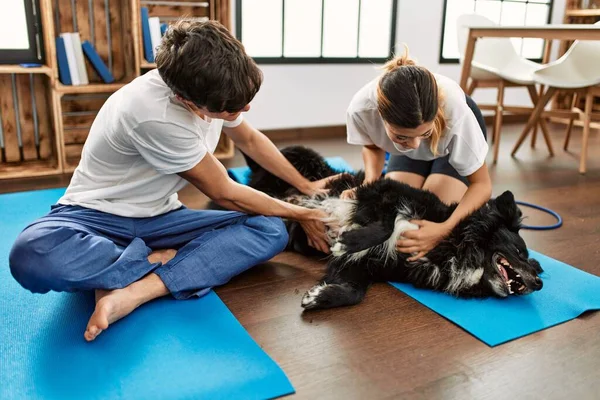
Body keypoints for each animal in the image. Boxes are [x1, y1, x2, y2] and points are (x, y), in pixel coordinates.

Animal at [240, 145, 544, 310]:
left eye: (536, 266)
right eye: (520, 251)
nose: (539, 283)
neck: (452, 247)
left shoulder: (366, 266)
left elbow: (354, 293)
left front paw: (319, 297)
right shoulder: (383, 190)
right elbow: (386, 226)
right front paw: (347, 240)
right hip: (299, 158)